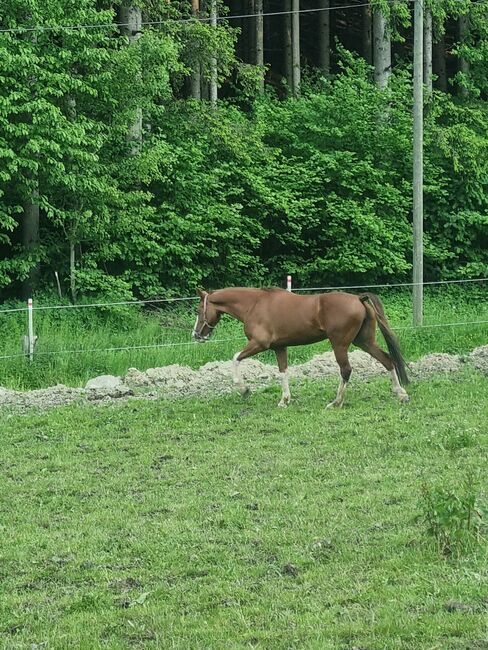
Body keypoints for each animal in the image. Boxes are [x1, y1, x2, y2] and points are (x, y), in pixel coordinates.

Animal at [193, 284, 410, 404]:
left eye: (198, 309)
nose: (196, 335)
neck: (254, 305)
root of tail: (359, 298)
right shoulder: (279, 347)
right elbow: (283, 371)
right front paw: (284, 400)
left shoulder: (259, 344)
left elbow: (235, 358)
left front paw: (244, 389)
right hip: (364, 341)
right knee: (387, 359)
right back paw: (401, 393)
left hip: (340, 344)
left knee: (346, 369)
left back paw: (336, 402)